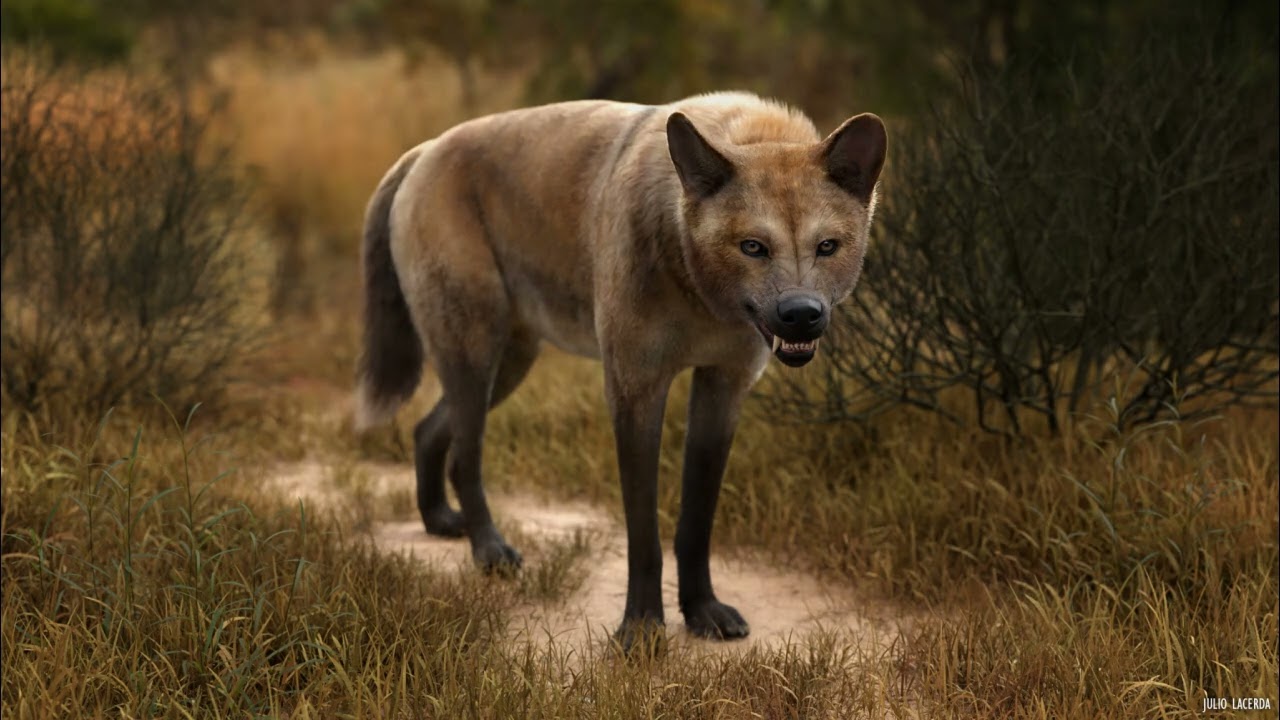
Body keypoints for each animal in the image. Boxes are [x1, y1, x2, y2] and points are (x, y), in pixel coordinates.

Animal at [354, 91, 886, 651]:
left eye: (827, 246)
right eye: (753, 247)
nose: (801, 313)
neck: (698, 292)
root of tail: (424, 150)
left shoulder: (723, 387)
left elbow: (696, 522)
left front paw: (703, 613)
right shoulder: (635, 389)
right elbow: (644, 533)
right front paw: (642, 630)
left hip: (509, 363)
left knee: (427, 430)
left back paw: (440, 521)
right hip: (475, 355)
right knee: (464, 455)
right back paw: (491, 551)